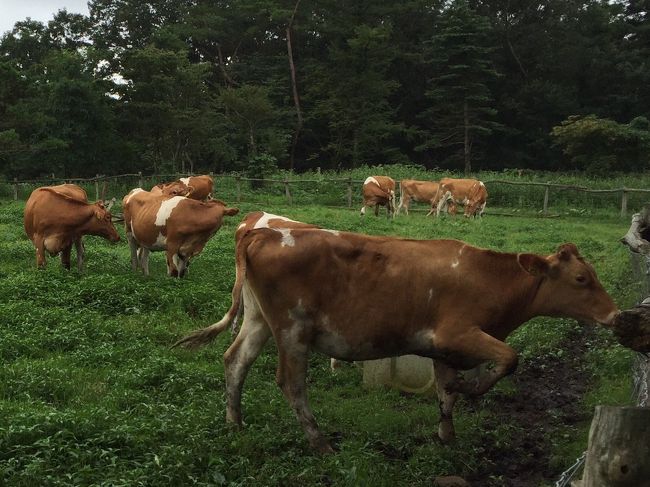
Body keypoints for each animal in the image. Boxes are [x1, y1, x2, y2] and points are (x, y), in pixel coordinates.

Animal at [173, 231, 616, 456]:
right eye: (581, 279)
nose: (614, 315)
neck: (488, 278)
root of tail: (262, 231)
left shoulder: (444, 349)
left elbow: (445, 392)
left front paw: (446, 433)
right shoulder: (457, 333)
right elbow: (510, 358)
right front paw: (470, 387)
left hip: (258, 319)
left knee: (236, 361)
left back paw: (234, 422)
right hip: (292, 329)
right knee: (290, 382)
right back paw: (319, 441)